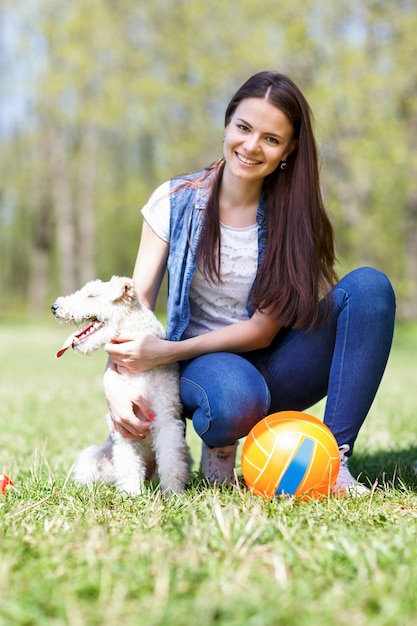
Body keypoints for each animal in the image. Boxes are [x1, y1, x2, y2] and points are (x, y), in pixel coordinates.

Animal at [50, 276, 192, 494]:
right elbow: (129, 464)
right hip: (93, 458)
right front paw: (132, 493)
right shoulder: (124, 421)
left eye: (92, 295)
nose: (54, 307)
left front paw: (173, 492)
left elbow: (172, 463)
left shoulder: (167, 420)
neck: (138, 372)